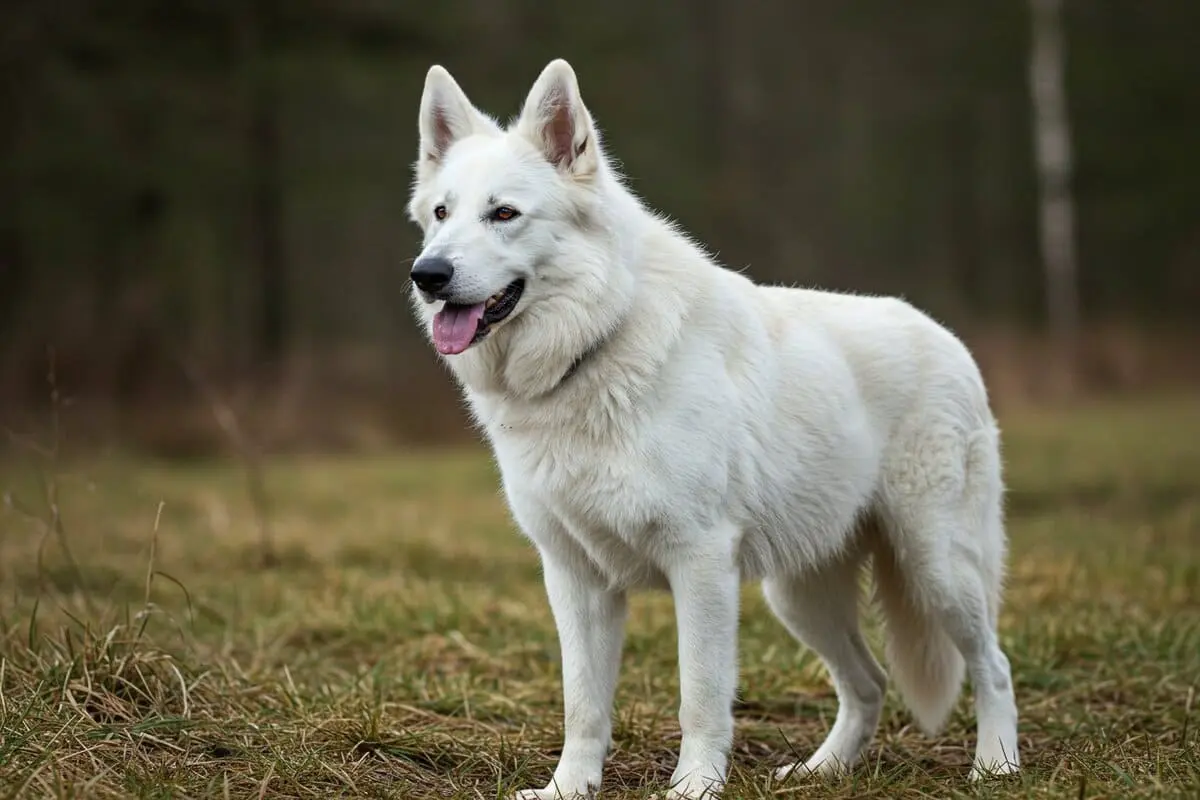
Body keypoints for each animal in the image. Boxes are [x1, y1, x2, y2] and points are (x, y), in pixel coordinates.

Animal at [405, 57, 1022, 800]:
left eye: (504, 214)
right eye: (442, 214)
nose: (428, 274)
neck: (595, 346)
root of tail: (946, 337)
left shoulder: (698, 565)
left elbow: (698, 695)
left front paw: (694, 786)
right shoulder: (575, 579)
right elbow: (583, 704)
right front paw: (568, 788)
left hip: (937, 569)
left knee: (993, 665)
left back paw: (996, 765)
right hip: (799, 598)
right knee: (867, 684)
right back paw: (822, 770)